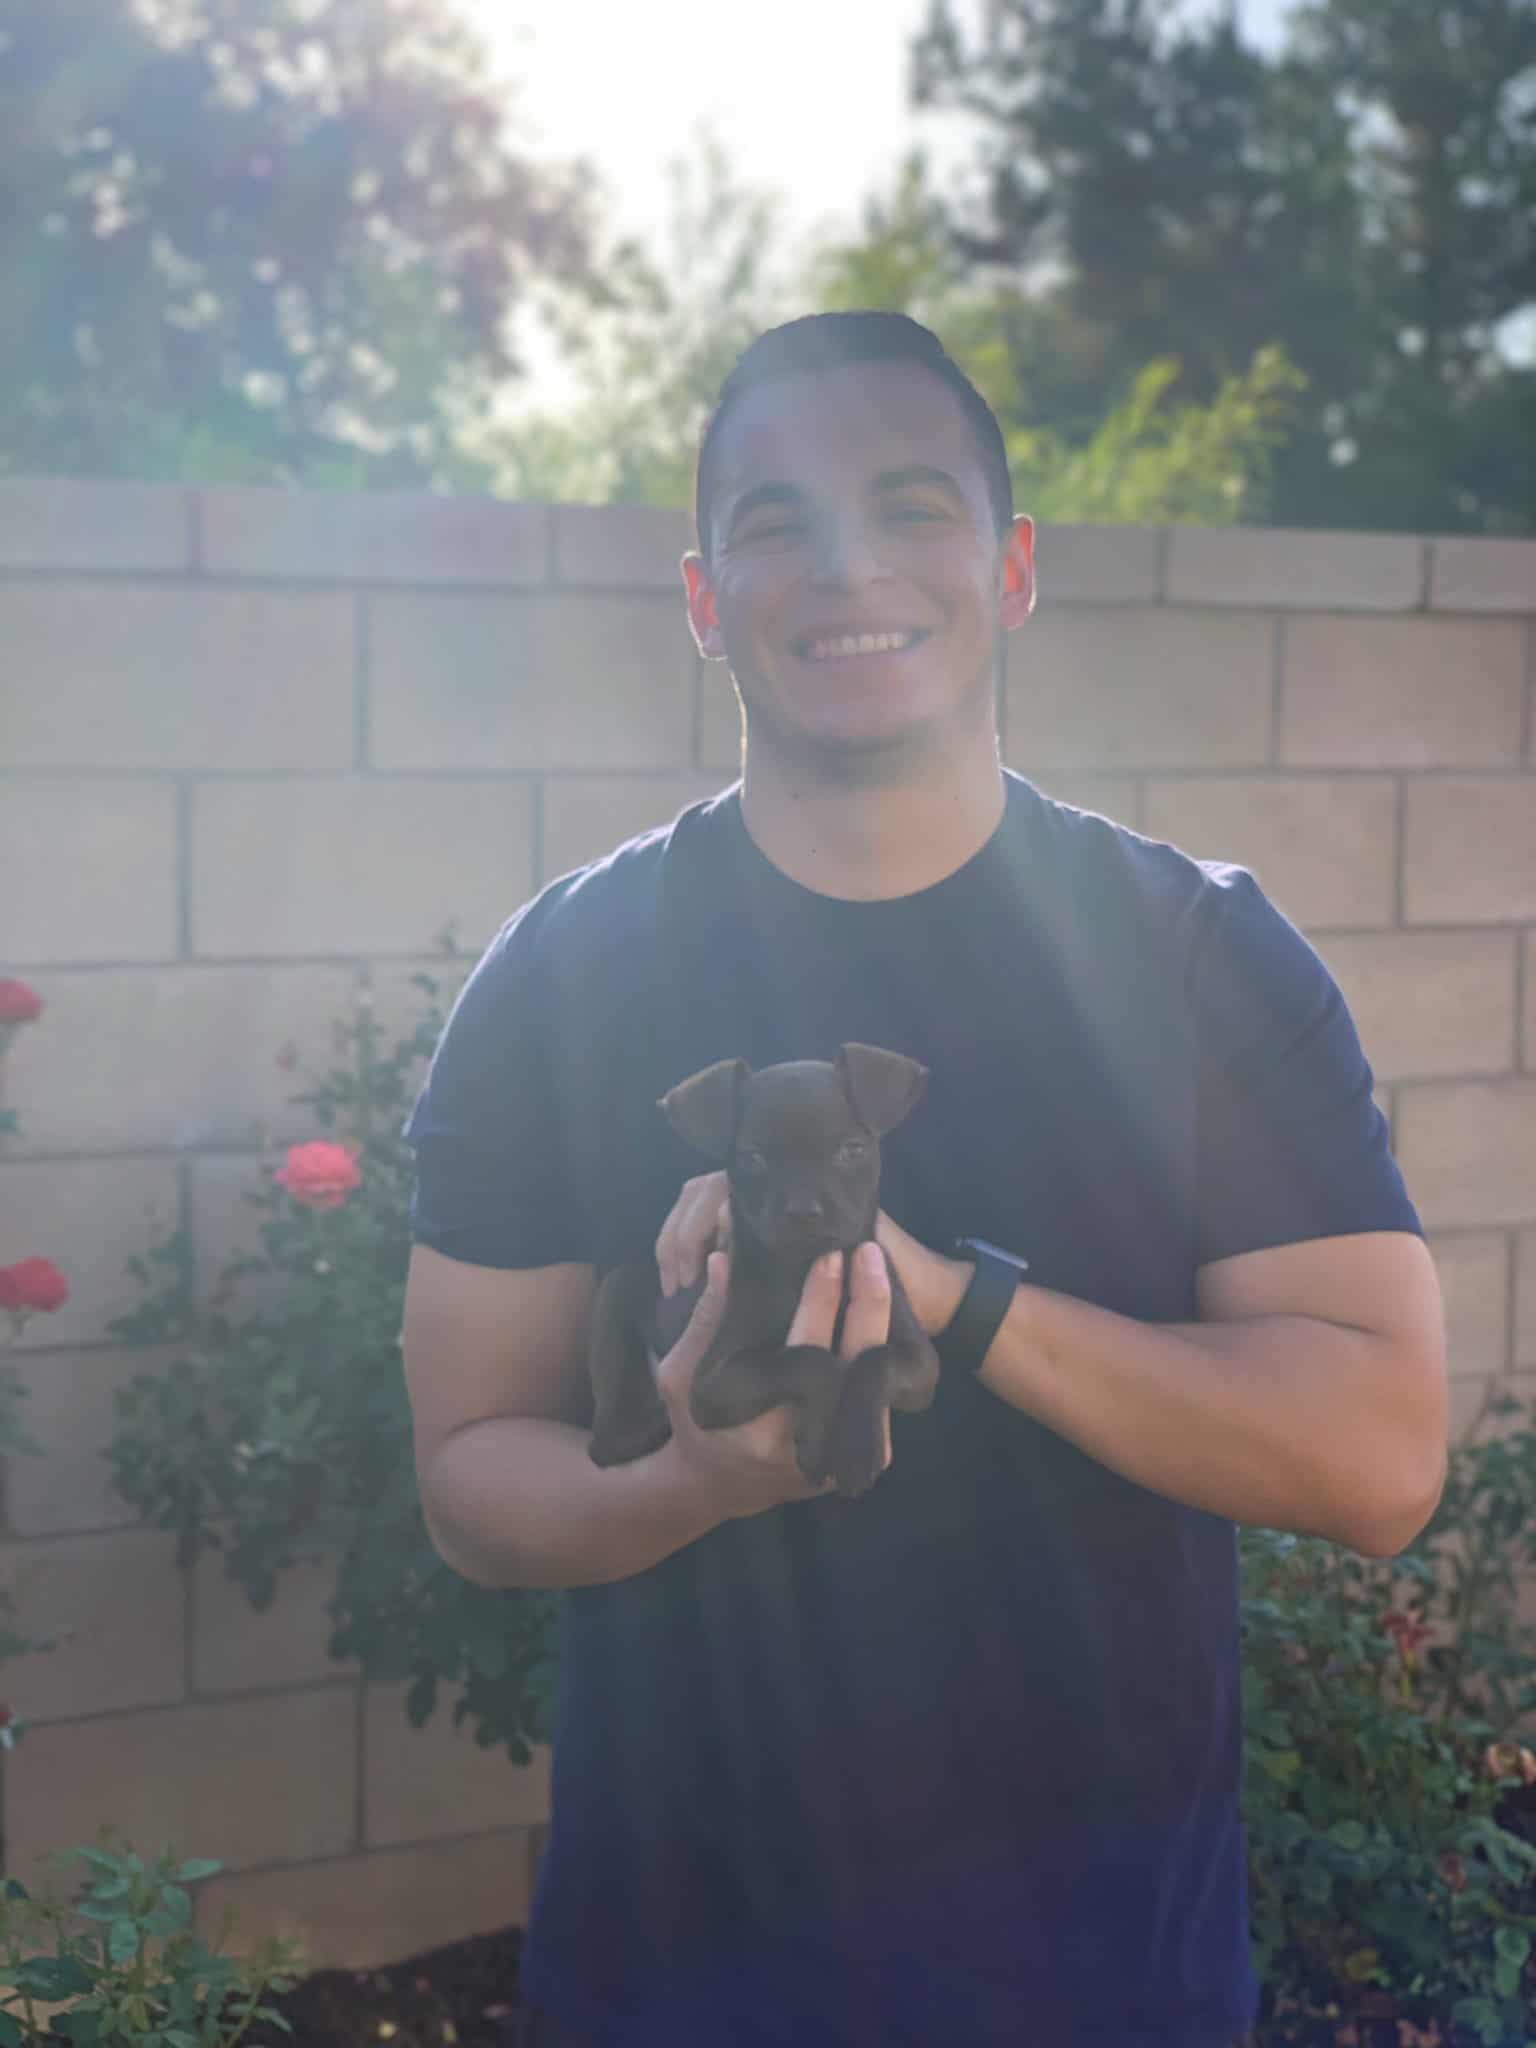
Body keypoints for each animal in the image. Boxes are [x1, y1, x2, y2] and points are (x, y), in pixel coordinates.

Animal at [589, 1048, 946, 1499]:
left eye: (852, 1150)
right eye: (752, 1158)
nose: (804, 1212)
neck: (800, 1269)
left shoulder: (921, 1363)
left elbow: (874, 1361)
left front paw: (856, 1449)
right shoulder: (710, 1387)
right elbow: (810, 1360)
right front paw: (819, 1438)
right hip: (616, 1296)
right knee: (604, 1445)